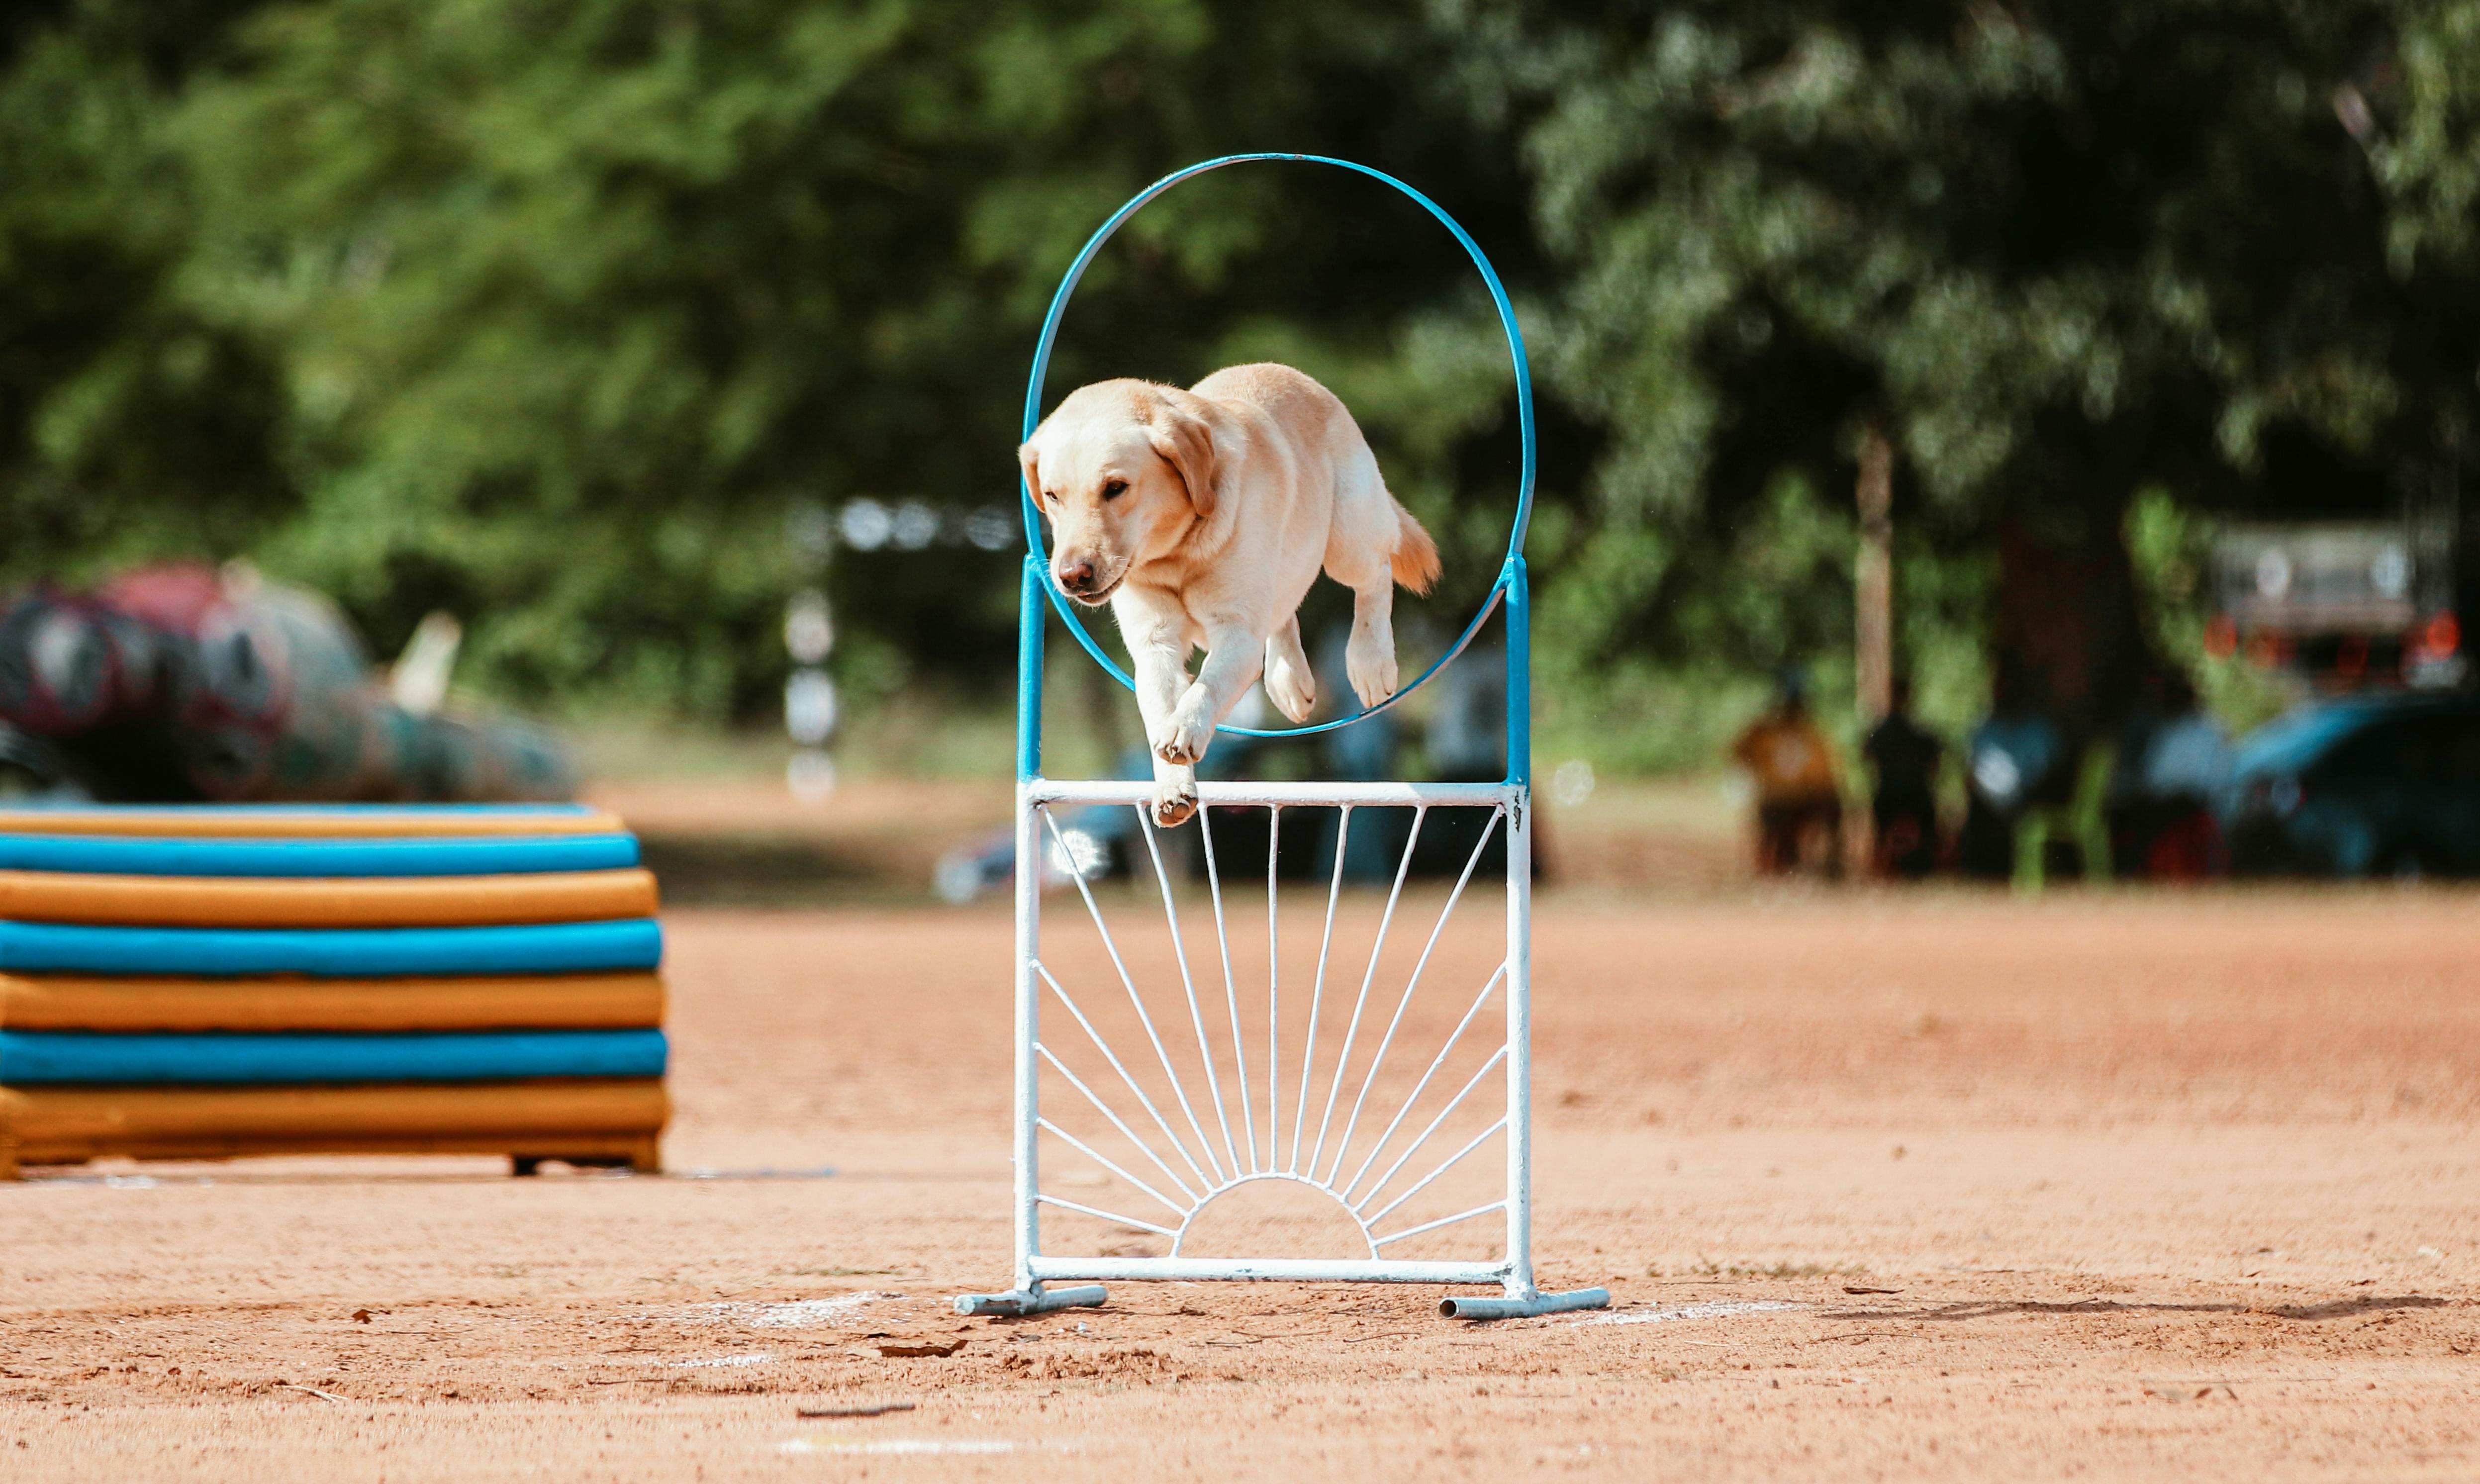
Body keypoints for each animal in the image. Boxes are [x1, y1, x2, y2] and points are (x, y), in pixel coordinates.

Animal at [1022, 360, 1448, 824]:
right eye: (1052, 495)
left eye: (1115, 487)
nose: (1072, 576)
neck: (1176, 554)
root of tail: (1293, 375)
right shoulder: (1154, 642)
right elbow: (1158, 709)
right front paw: (1172, 788)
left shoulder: (1238, 633)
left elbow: (1206, 687)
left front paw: (1184, 729)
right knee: (1285, 610)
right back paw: (1290, 680)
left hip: (1348, 537)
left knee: (1376, 577)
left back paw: (1371, 663)